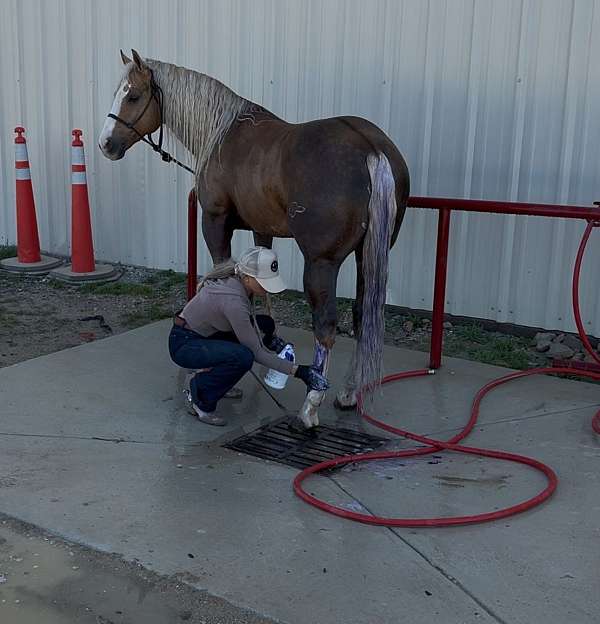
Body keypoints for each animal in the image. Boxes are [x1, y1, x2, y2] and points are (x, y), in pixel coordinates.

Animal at [99, 50, 408, 428]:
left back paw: (311, 404)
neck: (221, 134)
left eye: (132, 96)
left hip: (321, 263)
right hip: (368, 256)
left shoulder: (215, 223)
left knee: (326, 326)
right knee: (363, 317)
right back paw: (348, 393)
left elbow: (220, 275)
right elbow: (259, 296)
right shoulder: (263, 231)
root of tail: (370, 148)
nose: (106, 144)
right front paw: (265, 345)